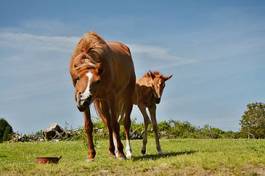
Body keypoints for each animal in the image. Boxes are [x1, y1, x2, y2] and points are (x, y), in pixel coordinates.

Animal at [69, 32, 135, 160]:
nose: (83, 100)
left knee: (125, 123)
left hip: (127, 95)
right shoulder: (91, 103)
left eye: (97, 81)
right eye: (78, 78)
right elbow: (88, 126)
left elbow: (115, 124)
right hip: (102, 101)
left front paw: (121, 153)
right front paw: (91, 154)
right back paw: (111, 151)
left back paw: (128, 152)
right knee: (108, 124)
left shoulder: (111, 97)